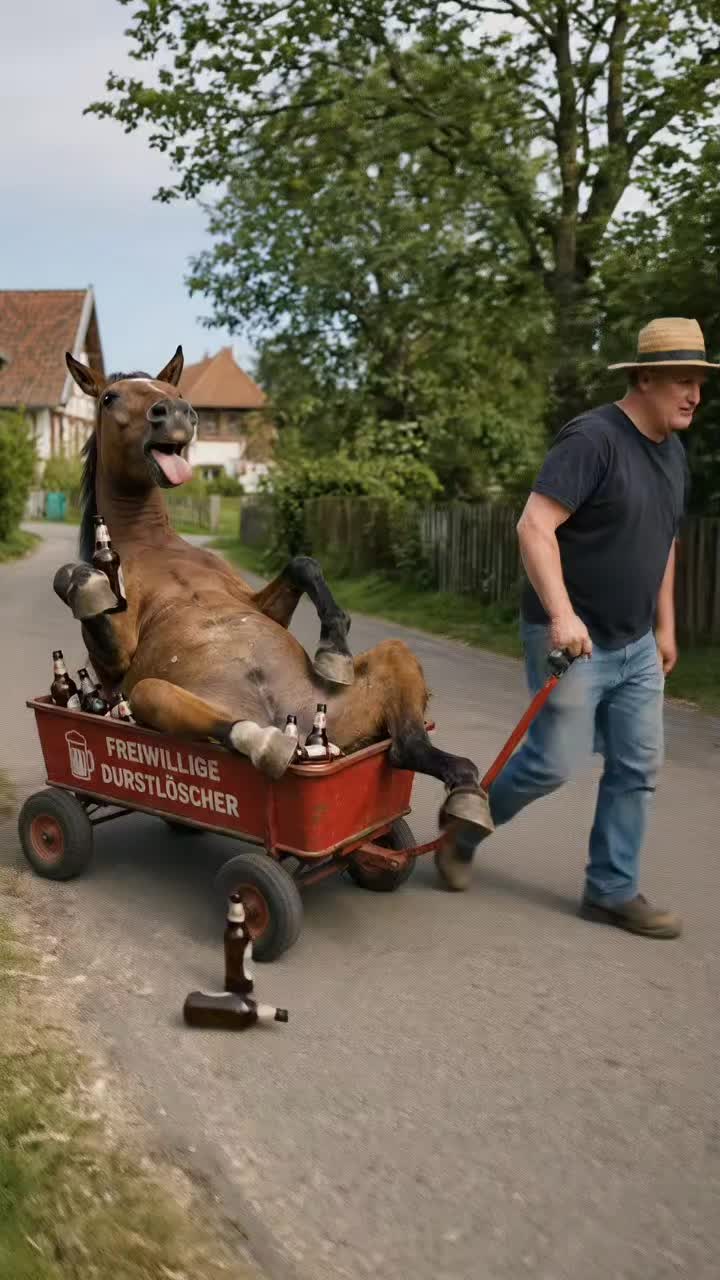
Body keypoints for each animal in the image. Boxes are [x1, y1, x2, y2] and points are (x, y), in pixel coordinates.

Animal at [52, 346, 492, 848]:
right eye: (109, 397)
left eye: (172, 389)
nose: (175, 414)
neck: (152, 546)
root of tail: (303, 726)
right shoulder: (113, 669)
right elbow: (77, 587)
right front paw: (85, 583)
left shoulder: (256, 603)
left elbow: (303, 564)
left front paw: (334, 650)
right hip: (150, 694)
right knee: (225, 725)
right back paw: (272, 745)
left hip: (386, 670)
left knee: (406, 747)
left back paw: (465, 794)